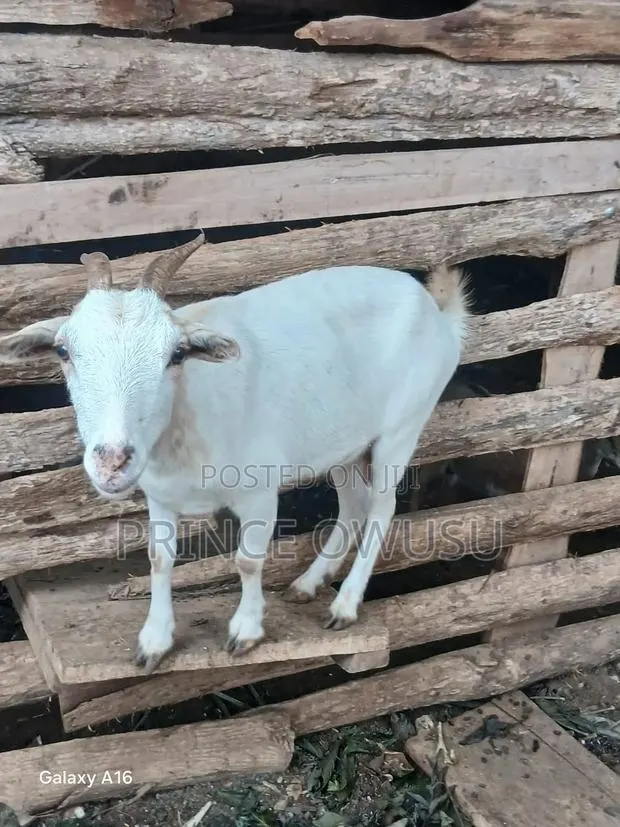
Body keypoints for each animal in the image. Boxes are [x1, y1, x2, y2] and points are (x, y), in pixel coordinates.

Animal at [0, 234, 469, 672]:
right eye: (63, 351)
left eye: (176, 354)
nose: (112, 461)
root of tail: (436, 311)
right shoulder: (160, 496)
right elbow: (159, 559)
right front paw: (154, 641)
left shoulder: (259, 491)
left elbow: (247, 561)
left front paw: (246, 631)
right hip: (344, 443)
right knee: (353, 505)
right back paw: (308, 584)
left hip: (403, 425)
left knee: (381, 507)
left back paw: (345, 605)